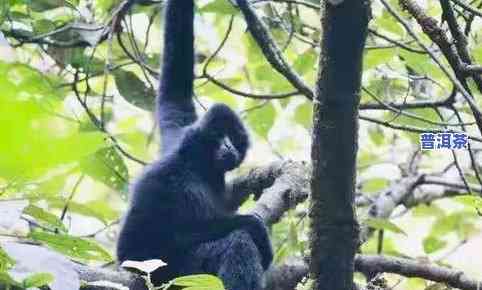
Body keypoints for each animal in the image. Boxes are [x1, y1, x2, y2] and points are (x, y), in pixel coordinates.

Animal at [116, 0, 274, 290]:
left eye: (234, 139)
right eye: (219, 135)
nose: (229, 148)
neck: (195, 167)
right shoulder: (162, 178)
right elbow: (135, 249)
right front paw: (252, 224)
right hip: (179, 272)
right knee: (237, 242)